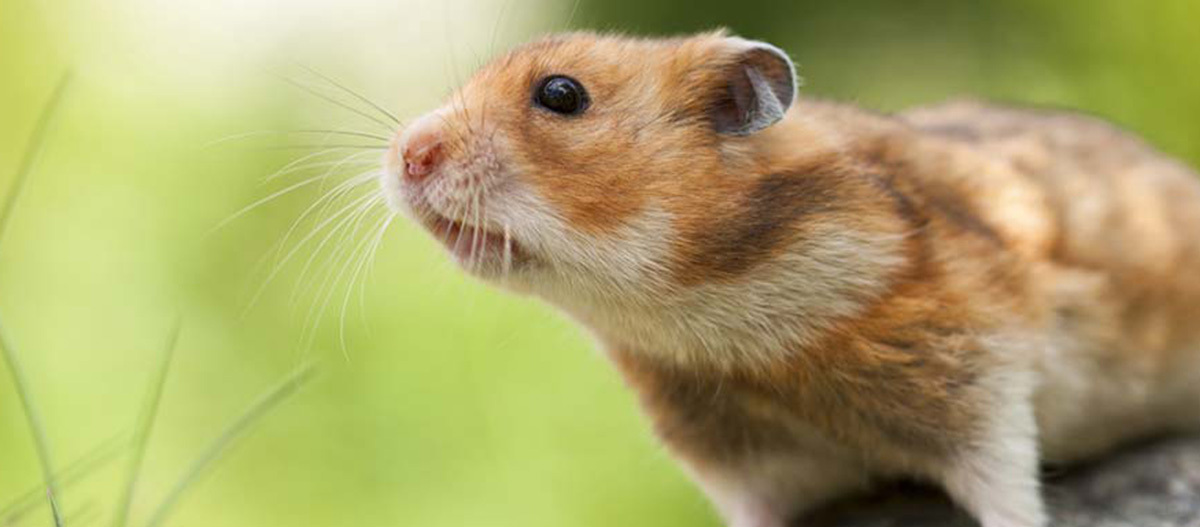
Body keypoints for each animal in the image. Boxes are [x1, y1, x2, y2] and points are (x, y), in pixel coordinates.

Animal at [377, 30, 1200, 527]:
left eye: (560, 95)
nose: (406, 155)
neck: (706, 318)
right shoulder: (735, 459)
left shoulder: (980, 382)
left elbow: (1008, 488)